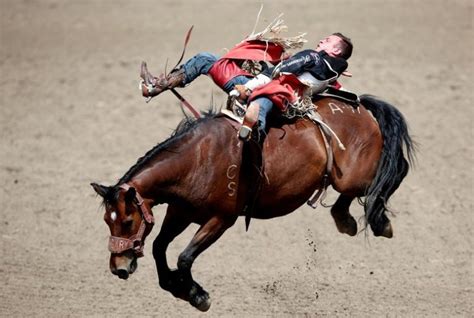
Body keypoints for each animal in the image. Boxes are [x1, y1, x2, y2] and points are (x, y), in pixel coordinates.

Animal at [90, 95, 412, 312]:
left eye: (127, 221)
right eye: (107, 221)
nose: (118, 268)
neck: (198, 160)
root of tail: (359, 106)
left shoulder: (220, 219)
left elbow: (184, 257)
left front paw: (197, 295)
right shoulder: (180, 212)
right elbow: (159, 247)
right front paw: (177, 287)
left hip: (354, 176)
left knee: (397, 170)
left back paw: (379, 221)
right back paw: (344, 218)